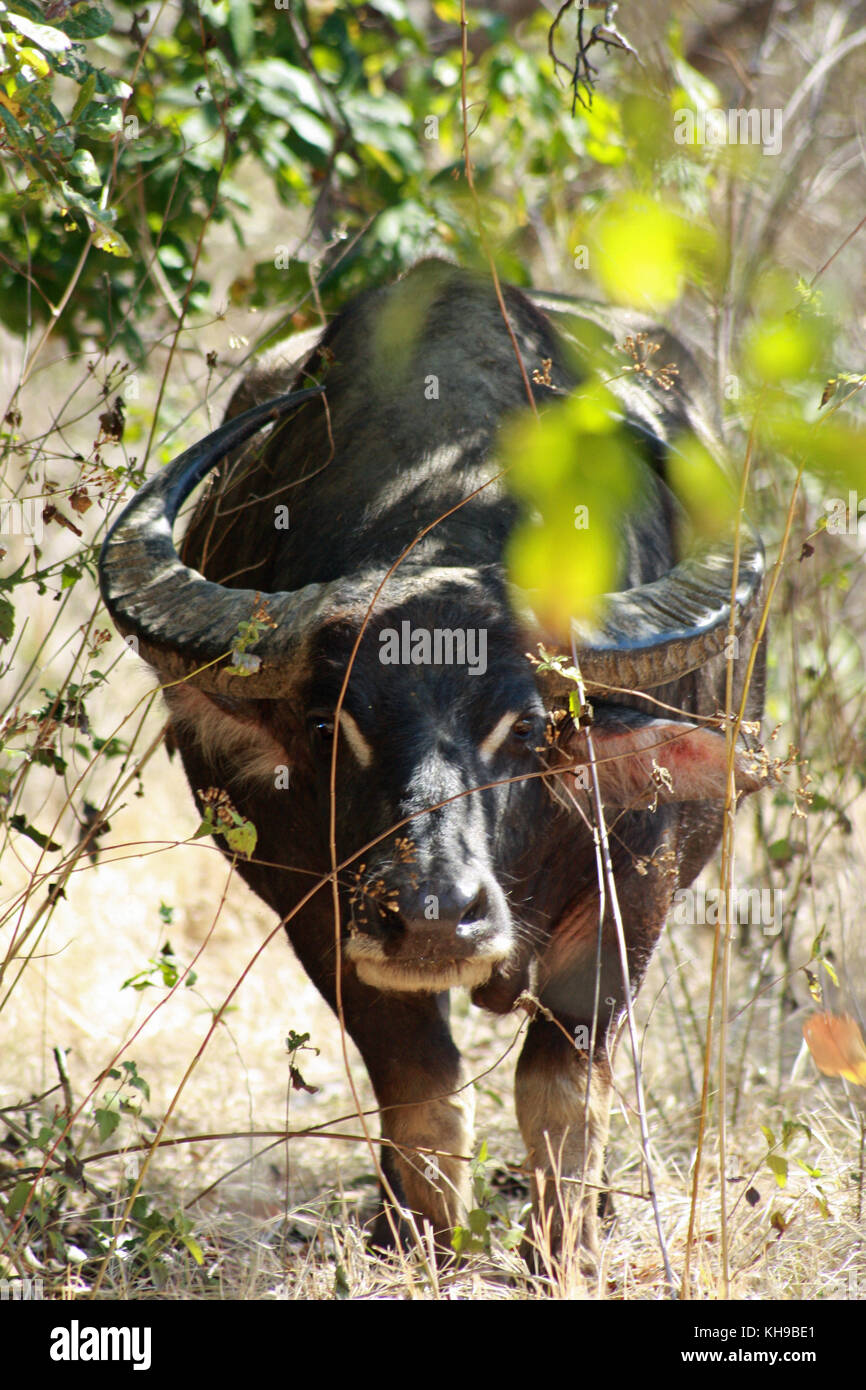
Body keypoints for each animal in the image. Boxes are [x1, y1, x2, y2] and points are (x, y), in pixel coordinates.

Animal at [97, 258, 767, 1273]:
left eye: (527, 730)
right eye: (327, 727)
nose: (434, 916)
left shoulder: (638, 886)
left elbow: (563, 1084)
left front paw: (564, 1249)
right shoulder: (313, 900)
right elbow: (418, 1077)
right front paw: (424, 1238)